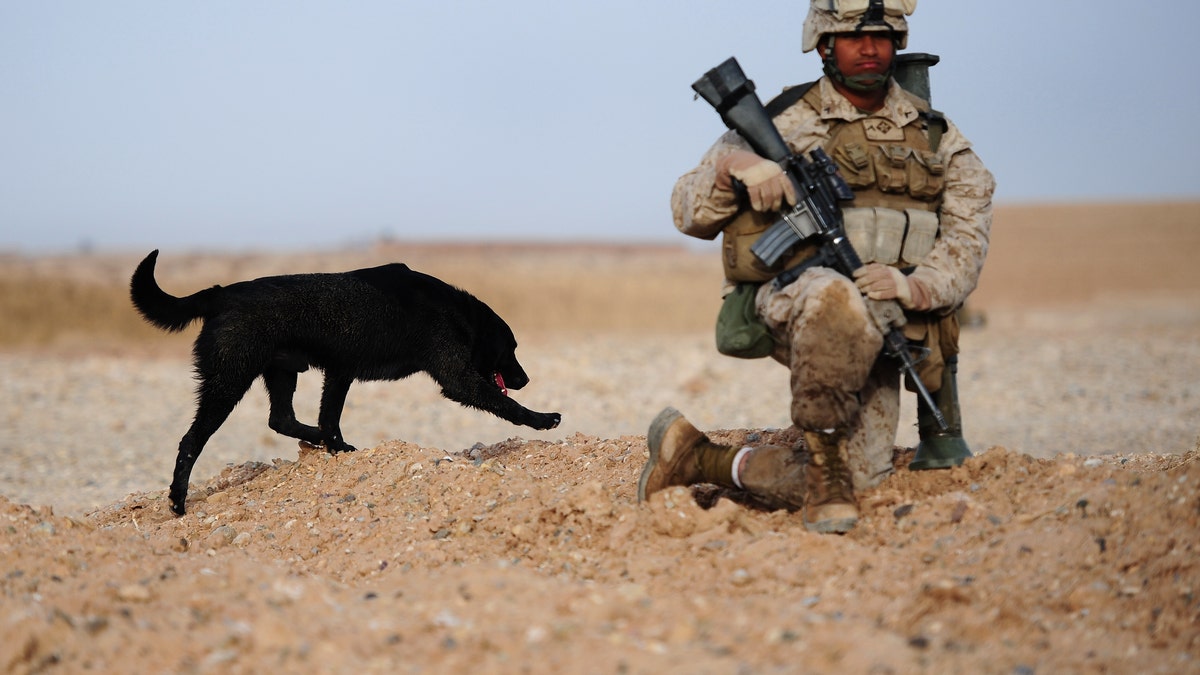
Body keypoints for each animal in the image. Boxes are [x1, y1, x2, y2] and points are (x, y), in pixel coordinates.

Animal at [131, 249, 561, 511]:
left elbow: (330, 418)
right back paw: (177, 501)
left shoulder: (340, 372)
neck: (456, 312)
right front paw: (543, 418)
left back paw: (321, 441)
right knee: (192, 441)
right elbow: (506, 404)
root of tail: (220, 294)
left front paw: (337, 447)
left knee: (281, 419)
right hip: (229, 380)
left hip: (281, 373)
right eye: (511, 349)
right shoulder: (457, 377)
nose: (525, 378)